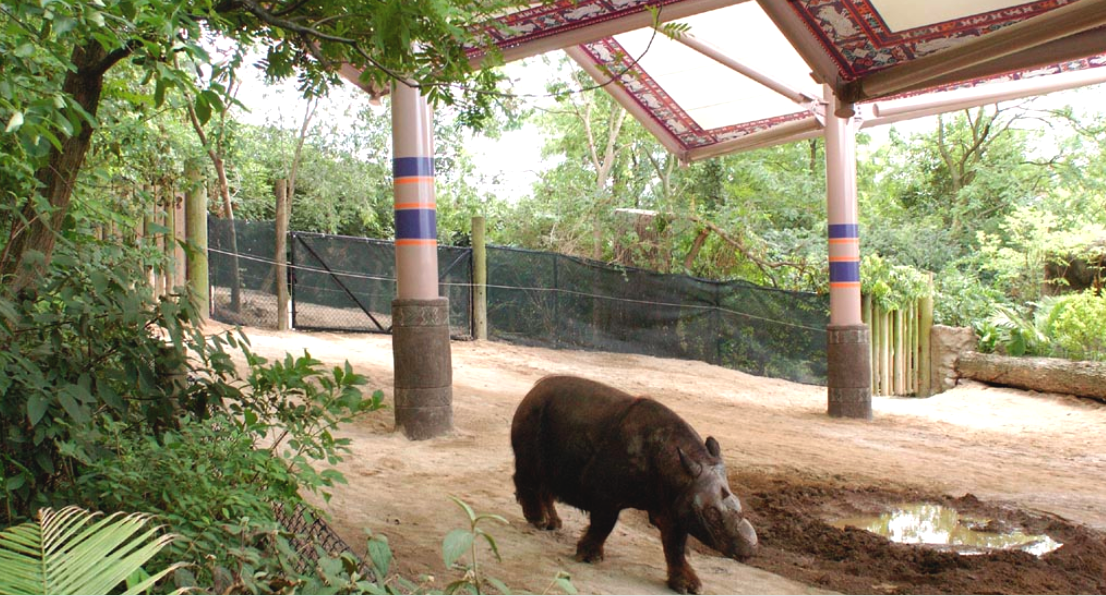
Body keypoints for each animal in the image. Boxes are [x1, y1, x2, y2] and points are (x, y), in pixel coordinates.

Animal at [510, 375, 758, 594]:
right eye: (712, 515)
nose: (750, 548)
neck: (677, 470)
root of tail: (534, 388)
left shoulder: (676, 500)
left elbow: (676, 543)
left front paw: (688, 586)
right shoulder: (606, 492)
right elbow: (605, 523)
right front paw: (589, 558)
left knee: (545, 477)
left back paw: (553, 524)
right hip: (534, 412)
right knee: (530, 467)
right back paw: (537, 521)